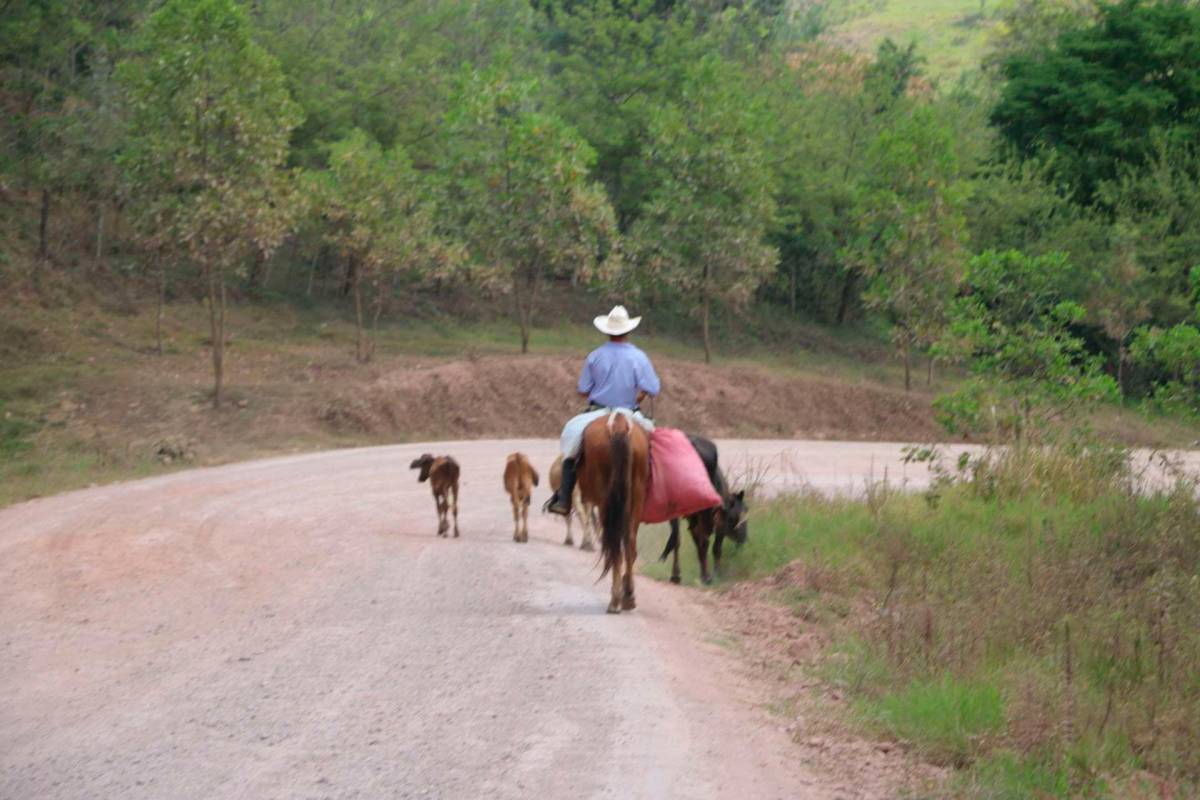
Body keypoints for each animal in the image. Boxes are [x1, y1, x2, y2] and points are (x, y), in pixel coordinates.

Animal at [578, 412, 652, 614]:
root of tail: (619, 422)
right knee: (629, 541)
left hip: (606, 501)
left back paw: (615, 600)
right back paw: (628, 596)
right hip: (635, 494)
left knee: (615, 545)